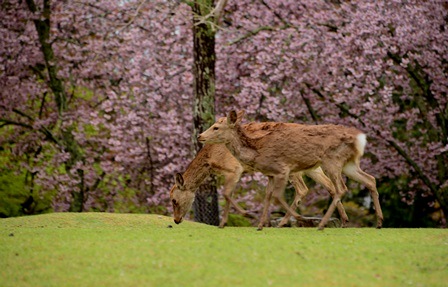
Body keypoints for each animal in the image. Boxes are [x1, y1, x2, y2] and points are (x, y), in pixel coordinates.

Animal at [170, 122, 348, 228]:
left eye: (173, 200)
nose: (176, 220)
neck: (211, 159)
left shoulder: (234, 167)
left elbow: (227, 194)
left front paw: (244, 215)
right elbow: (228, 194)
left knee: (304, 189)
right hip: (313, 168)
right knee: (331, 186)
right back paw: (342, 220)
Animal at [198, 111, 384, 232]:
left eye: (215, 127)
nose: (200, 136)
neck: (258, 151)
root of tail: (360, 139)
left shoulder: (282, 169)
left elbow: (278, 196)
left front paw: (294, 219)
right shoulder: (270, 174)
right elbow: (268, 196)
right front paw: (260, 225)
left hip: (332, 161)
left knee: (341, 189)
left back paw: (321, 224)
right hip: (349, 164)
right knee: (370, 179)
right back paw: (379, 222)